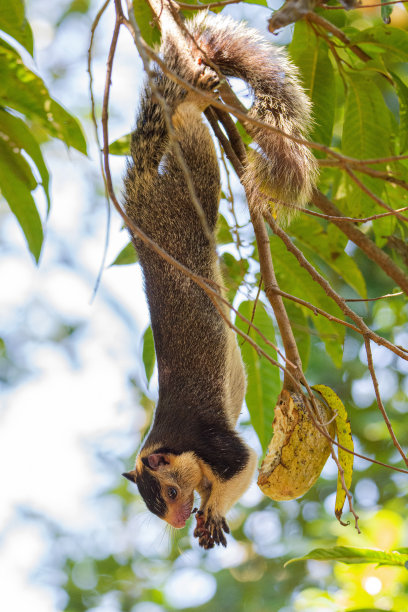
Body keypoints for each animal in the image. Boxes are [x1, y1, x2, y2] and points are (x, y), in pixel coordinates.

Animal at [120, 11, 316, 548]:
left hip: (192, 191)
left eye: (167, 492)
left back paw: (196, 98)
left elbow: (243, 467)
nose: (176, 519)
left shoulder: (213, 443)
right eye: (152, 506)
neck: (173, 444)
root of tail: (140, 206)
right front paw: (211, 516)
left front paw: (212, 511)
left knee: (188, 134)